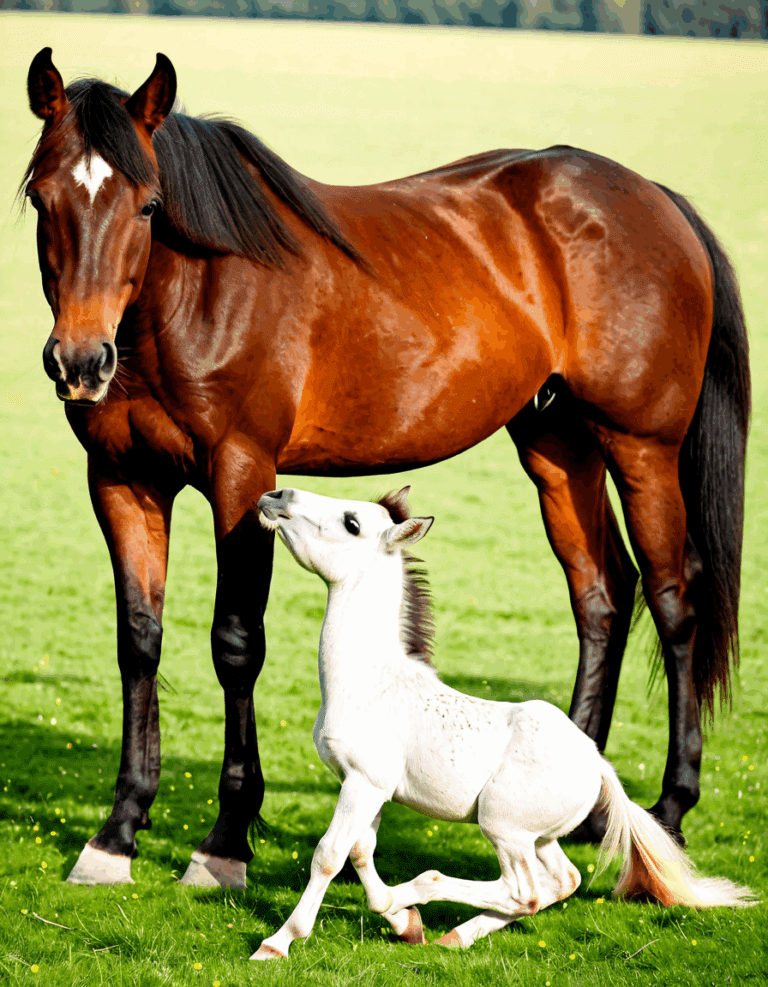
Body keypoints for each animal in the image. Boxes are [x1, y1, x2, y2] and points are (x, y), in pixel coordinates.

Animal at [22, 47, 749, 886]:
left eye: (146, 205)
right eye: (41, 197)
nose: (80, 360)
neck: (191, 294)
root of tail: (656, 199)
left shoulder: (242, 474)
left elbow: (236, 643)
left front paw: (225, 838)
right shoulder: (120, 477)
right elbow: (139, 639)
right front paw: (117, 831)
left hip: (641, 447)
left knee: (673, 598)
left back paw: (670, 808)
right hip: (556, 443)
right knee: (602, 594)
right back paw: (582, 804)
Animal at [251, 486, 754, 957]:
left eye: (351, 523)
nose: (274, 496)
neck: (370, 680)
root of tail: (598, 764)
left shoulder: (365, 781)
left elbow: (330, 855)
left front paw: (279, 942)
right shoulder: (366, 786)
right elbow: (361, 851)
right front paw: (403, 922)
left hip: (502, 826)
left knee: (524, 891)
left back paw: (422, 892)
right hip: (538, 837)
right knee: (561, 882)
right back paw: (452, 935)